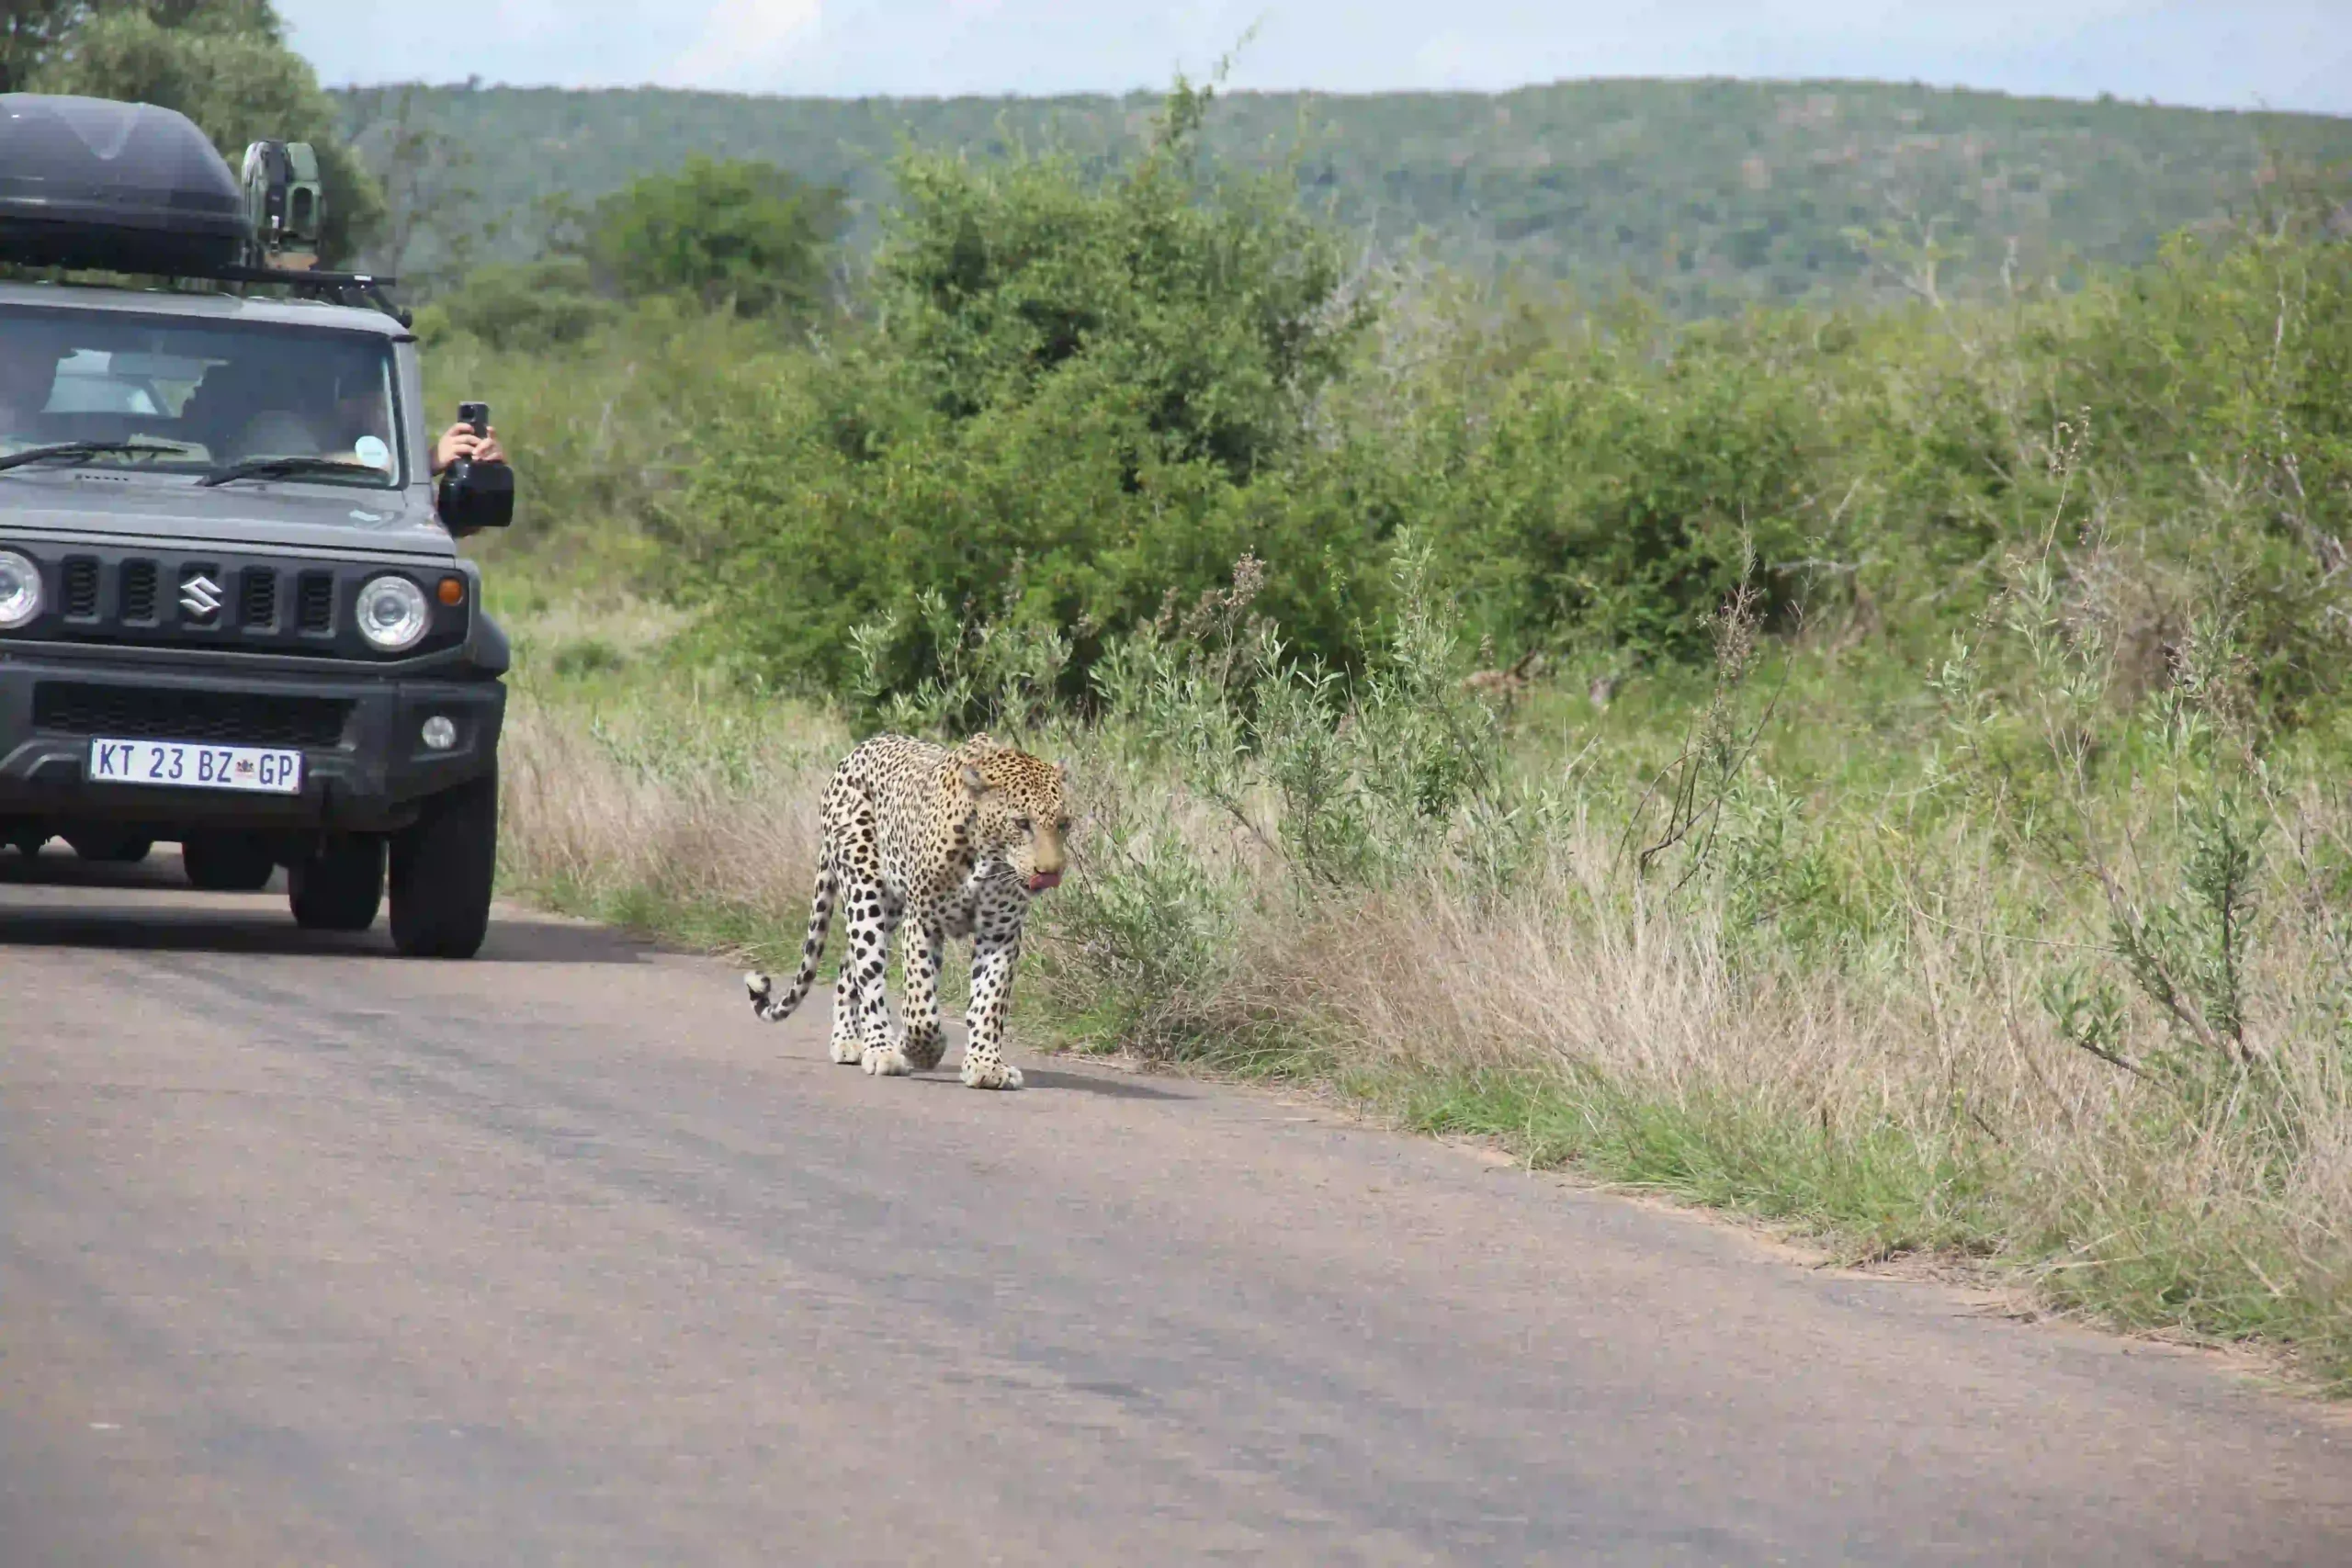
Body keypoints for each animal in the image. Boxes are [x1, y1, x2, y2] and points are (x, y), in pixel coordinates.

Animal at [743, 731, 1072, 1090]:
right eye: (1022, 823)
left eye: (1064, 824)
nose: (1051, 872)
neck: (986, 857)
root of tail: (856, 752)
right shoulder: (924, 921)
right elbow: (920, 1004)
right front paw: (922, 1050)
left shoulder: (1000, 932)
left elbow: (990, 1001)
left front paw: (986, 1066)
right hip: (865, 890)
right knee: (869, 972)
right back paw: (880, 1050)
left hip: (889, 909)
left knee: (848, 967)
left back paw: (848, 1039)